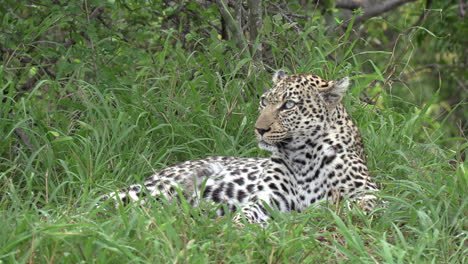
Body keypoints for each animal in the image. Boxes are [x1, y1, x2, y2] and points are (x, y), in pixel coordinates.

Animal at [101, 70, 376, 223]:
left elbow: (353, 207)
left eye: (288, 105)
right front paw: (236, 227)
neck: (303, 156)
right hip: (157, 188)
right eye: (264, 101)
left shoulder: (369, 193)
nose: (259, 129)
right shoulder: (267, 199)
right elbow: (247, 214)